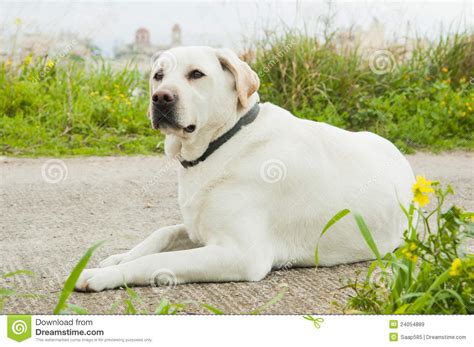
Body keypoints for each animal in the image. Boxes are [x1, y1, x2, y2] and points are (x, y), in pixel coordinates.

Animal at [75, 45, 414, 290]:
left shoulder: (242, 254)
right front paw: (117, 259)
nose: (160, 97)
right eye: (158, 75)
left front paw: (101, 275)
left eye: (196, 74)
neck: (220, 142)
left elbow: (153, 262)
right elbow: (162, 233)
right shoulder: (198, 227)